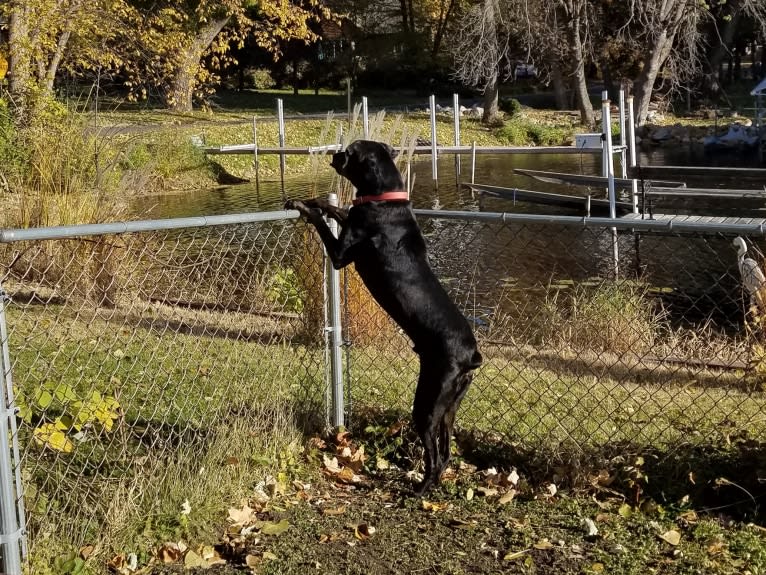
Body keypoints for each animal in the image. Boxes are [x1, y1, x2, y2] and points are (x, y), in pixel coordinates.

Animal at [284, 141, 484, 496]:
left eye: (350, 152)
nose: (335, 153)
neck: (384, 199)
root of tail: (470, 356)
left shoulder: (340, 254)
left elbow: (324, 222)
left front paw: (304, 207)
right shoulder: (352, 217)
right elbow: (337, 209)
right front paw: (314, 200)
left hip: (428, 404)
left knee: (434, 454)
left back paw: (420, 490)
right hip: (450, 407)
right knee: (446, 451)